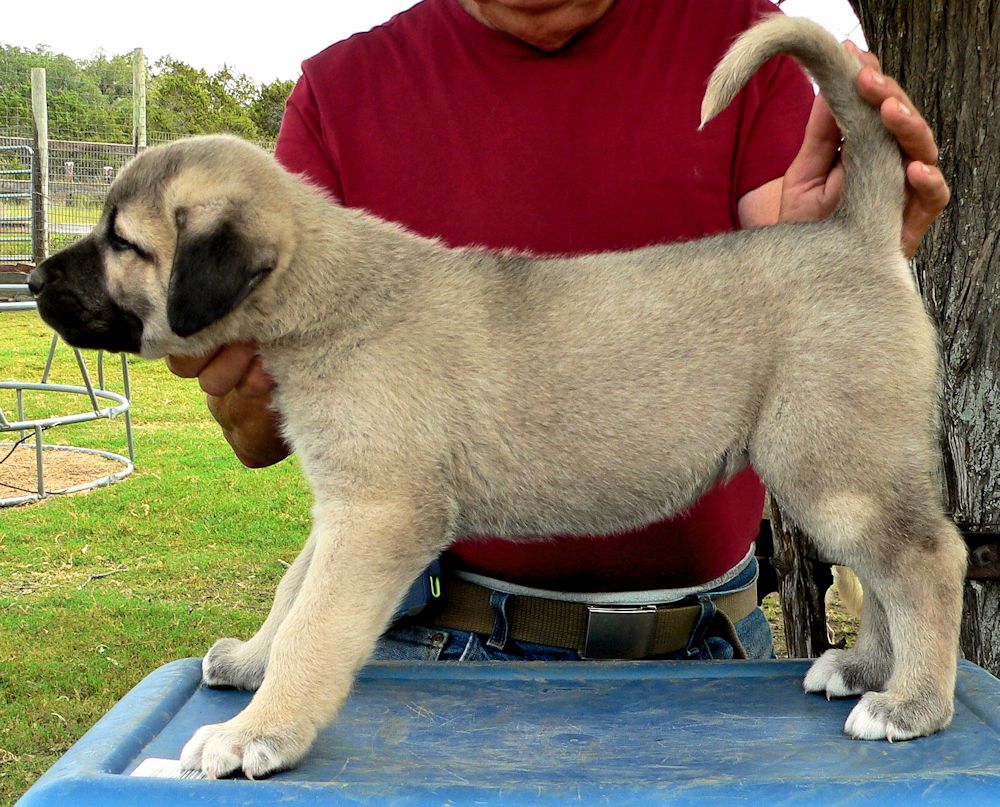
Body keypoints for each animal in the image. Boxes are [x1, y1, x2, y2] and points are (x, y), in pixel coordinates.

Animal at [29, 15, 968, 780]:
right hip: (840, 467)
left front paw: (258, 729)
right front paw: (254, 663)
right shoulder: (343, 508)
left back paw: (911, 704)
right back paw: (867, 670)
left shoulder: (376, 515)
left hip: (832, 465)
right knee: (884, 570)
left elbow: (315, 625)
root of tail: (855, 230)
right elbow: (294, 592)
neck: (330, 294)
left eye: (122, 242)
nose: (33, 279)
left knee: (926, 559)